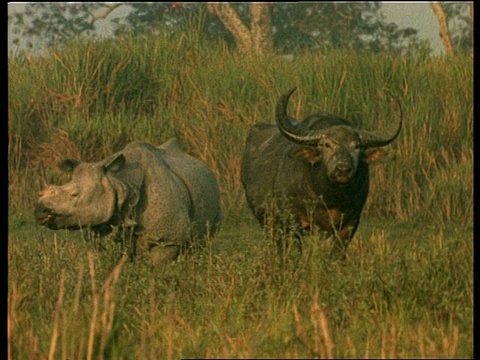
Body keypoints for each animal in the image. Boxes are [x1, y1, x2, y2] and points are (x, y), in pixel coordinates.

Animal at [240, 87, 402, 256]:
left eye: (356, 146)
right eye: (326, 145)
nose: (342, 169)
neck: (330, 197)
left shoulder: (350, 223)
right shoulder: (292, 222)